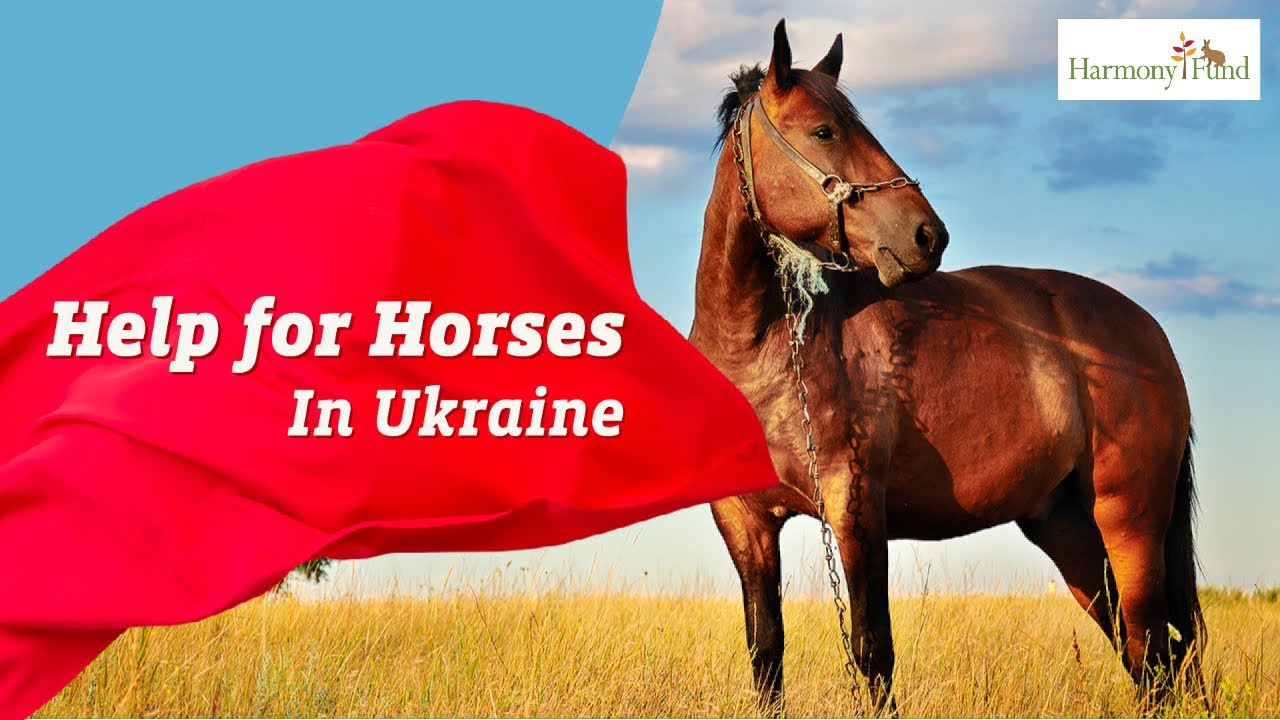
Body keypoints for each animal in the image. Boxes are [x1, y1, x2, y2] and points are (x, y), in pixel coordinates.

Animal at [689, 20, 1202, 714]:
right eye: (824, 132)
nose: (928, 236)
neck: (761, 354)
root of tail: (1150, 334)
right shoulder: (744, 523)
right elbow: (766, 653)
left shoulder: (856, 509)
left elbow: (872, 653)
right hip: (1068, 532)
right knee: (1145, 653)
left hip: (1130, 525)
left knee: (1152, 652)